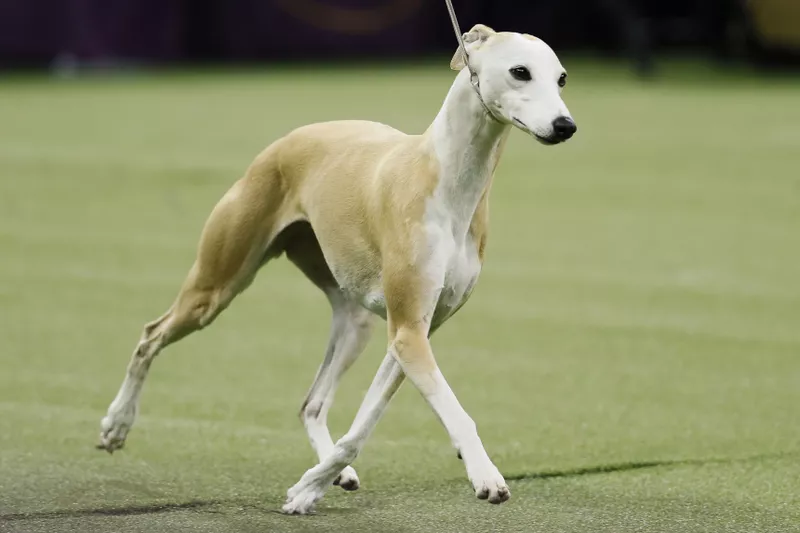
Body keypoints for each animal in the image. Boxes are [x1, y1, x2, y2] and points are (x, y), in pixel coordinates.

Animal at [97, 22, 576, 512]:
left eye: (561, 78)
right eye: (520, 71)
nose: (565, 126)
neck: (447, 182)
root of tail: (289, 139)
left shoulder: (414, 332)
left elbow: (361, 426)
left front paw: (309, 487)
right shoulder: (409, 332)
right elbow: (457, 415)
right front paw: (486, 475)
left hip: (355, 320)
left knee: (312, 403)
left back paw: (333, 471)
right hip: (214, 286)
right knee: (152, 334)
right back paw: (117, 424)